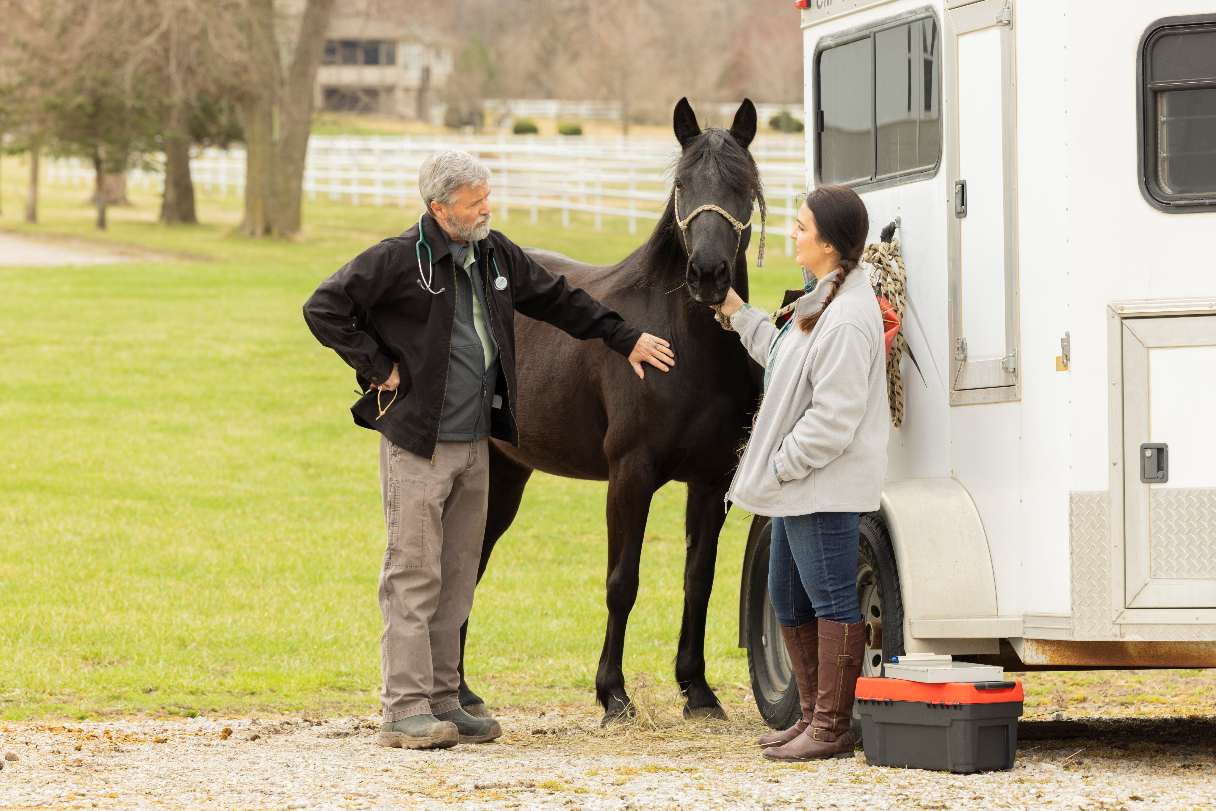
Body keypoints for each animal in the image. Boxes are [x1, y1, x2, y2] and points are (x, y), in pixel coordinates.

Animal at [459, 96, 763, 724]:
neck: (682, 345)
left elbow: (699, 579)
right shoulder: (631, 474)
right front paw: (613, 694)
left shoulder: (711, 480)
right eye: (681, 184)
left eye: (744, 185)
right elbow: (622, 581)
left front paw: (698, 692)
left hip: (507, 474)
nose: (708, 275)